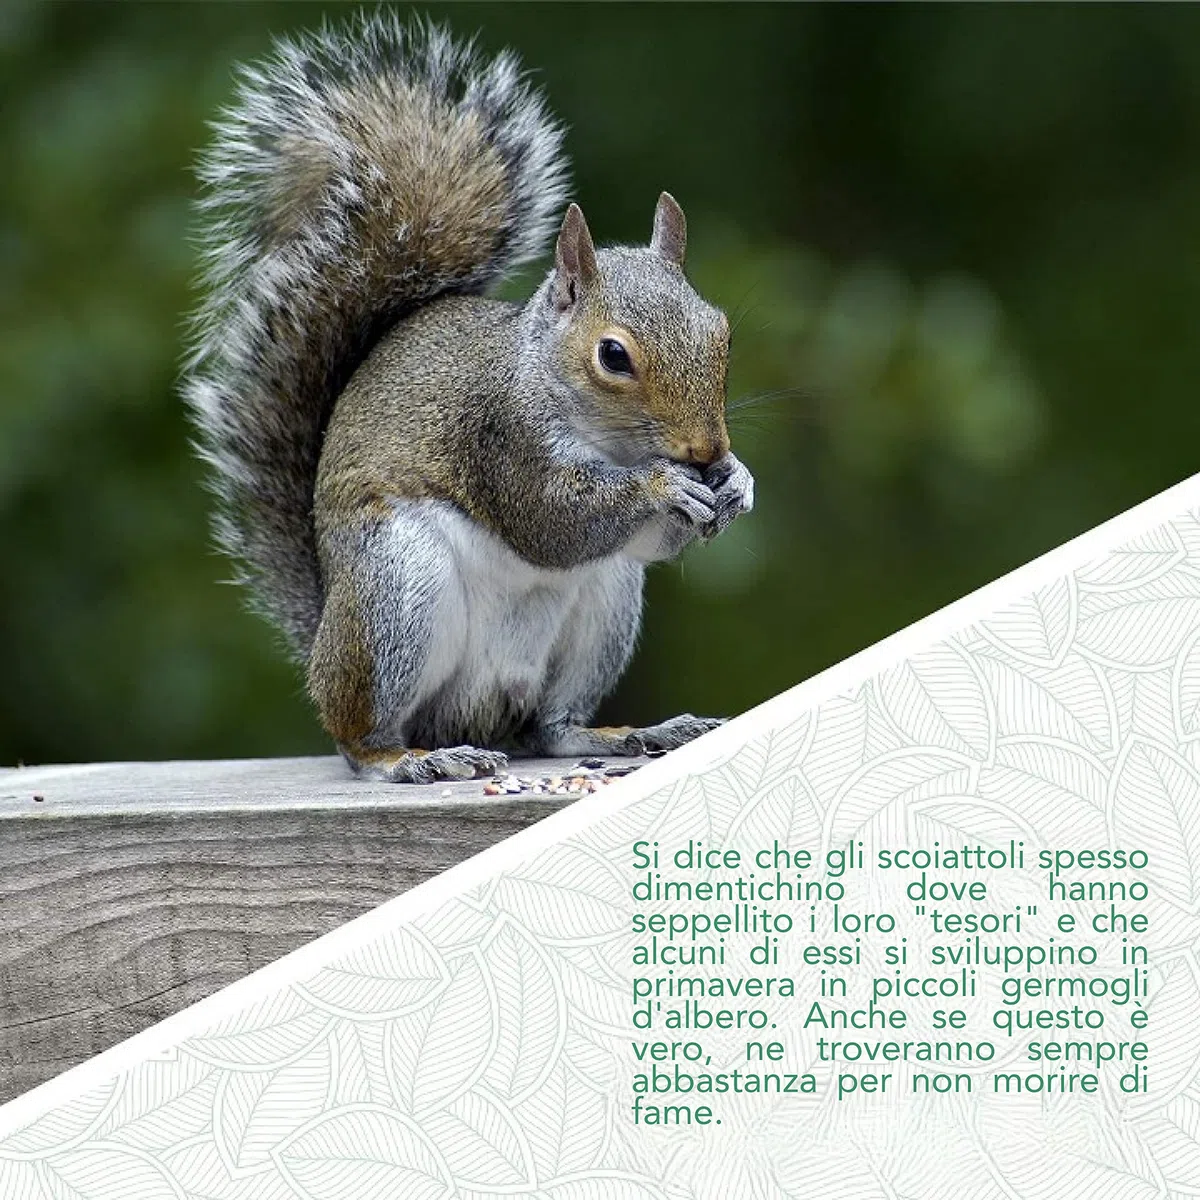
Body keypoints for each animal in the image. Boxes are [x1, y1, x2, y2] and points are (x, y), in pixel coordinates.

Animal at [184, 15, 755, 784]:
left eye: (721, 329)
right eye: (613, 356)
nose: (707, 449)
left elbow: (645, 540)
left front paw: (736, 482)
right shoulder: (499, 436)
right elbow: (551, 521)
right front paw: (665, 485)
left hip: (604, 605)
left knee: (549, 726)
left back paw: (618, 734)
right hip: (395, 591)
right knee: (359, 734)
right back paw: (405, 759)